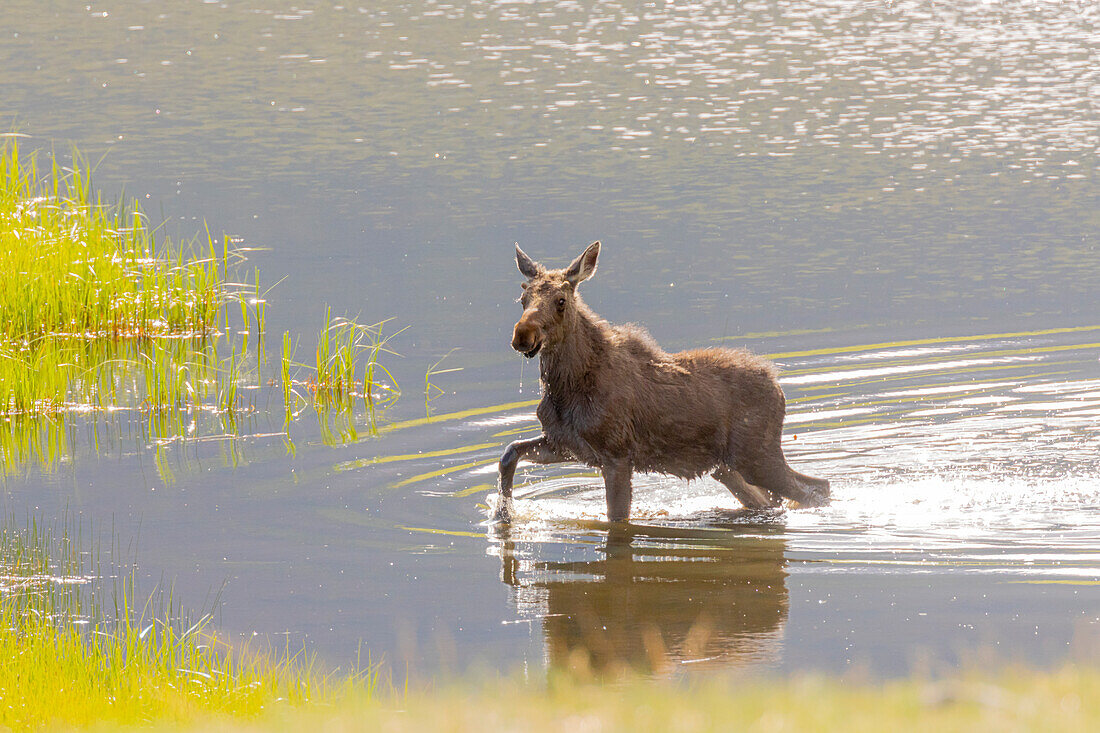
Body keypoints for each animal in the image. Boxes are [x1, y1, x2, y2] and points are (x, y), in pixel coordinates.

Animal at [495, 242, 827, 521]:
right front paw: (503, 514)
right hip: (729, 468)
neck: (566, 387)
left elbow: (617, 518)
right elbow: (509, 453)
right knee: (781, 497)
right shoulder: (566, 444)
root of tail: (778, 387)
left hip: (758, 456)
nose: (523, 335)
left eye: (561, 300)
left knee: (817, 488)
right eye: (522, 297)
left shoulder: (616, 455)